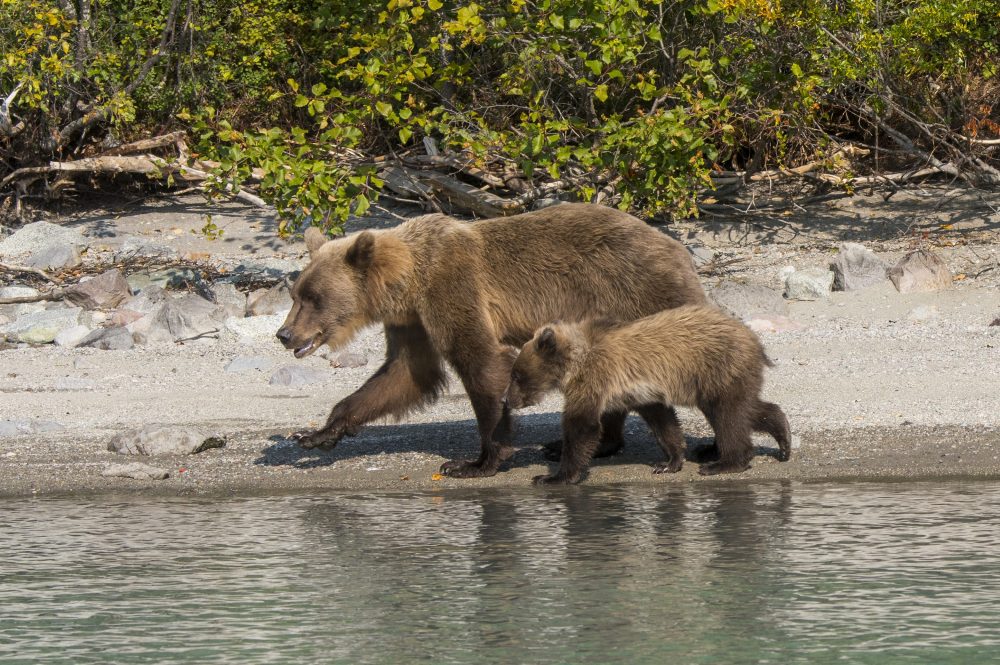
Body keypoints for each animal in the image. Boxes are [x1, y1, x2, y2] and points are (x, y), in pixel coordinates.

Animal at [275, 202, 707, 479]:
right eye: (296, 293)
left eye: (313, 298)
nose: (283, 334)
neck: (408, 280)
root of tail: (680, 250)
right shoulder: (411, 319)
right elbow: (407, 372)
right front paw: (315, 434)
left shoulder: (452, 287)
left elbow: (480, 362)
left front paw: (475, 462)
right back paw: (590, 443)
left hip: (639, 292)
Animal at [503, 305, 791, 484]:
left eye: (516, 375)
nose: (508, 399)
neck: (574, 362)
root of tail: (753, 339)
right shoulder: (641, 391)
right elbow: (663, 421)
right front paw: (669, 461)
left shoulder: (595, 378)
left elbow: (582, 425)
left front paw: (551, 476)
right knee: (744, 408)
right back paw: (783, 438)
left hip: (718, 367)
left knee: (729, 415)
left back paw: (723, 463)